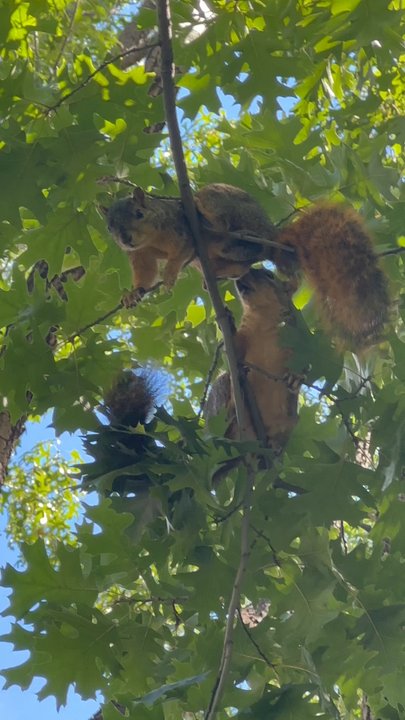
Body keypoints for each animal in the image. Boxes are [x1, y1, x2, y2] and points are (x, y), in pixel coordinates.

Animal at [103, 183, 389, 347]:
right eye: (110, 227)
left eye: (139, 213)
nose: (126, 239)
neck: (151, 239)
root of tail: (271, 233)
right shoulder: (140, 256)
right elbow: (145, 273)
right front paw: (133, 294)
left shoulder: (183, 231)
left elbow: (180, 254)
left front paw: (171, 274)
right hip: (223, 257)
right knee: (242, 265)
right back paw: (215, 276)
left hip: (225, 205)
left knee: (224, 224)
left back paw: (208, 216)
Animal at [205, 268, 301, 450]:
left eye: (270, 275)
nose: (239, 276)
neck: (263, 317)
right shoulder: (244, 337)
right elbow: (233, 351)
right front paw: (228, 320)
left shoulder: (295, 339)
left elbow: (302, 363)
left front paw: (296, 377)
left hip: (290, 418)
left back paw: (275, 445)